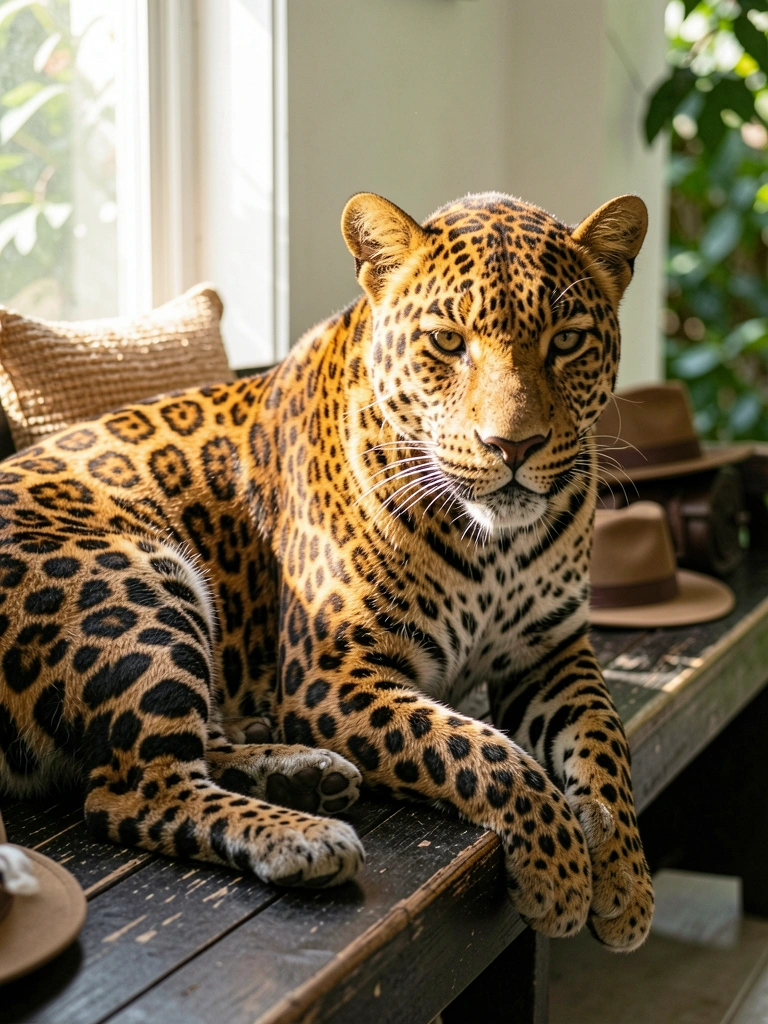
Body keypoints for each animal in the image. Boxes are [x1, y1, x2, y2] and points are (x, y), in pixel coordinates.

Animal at [0, 189, 653, 949]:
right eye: (448, 342)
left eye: (567, 340)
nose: (512, 446)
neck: (495, 546)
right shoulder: (332, 674)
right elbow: (477, 748)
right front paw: (558, 866)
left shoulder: (550, 652)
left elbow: (606, 742)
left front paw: (624, 877)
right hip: (133, 577)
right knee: (130, 787)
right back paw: (305, 836)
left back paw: (299, 771)